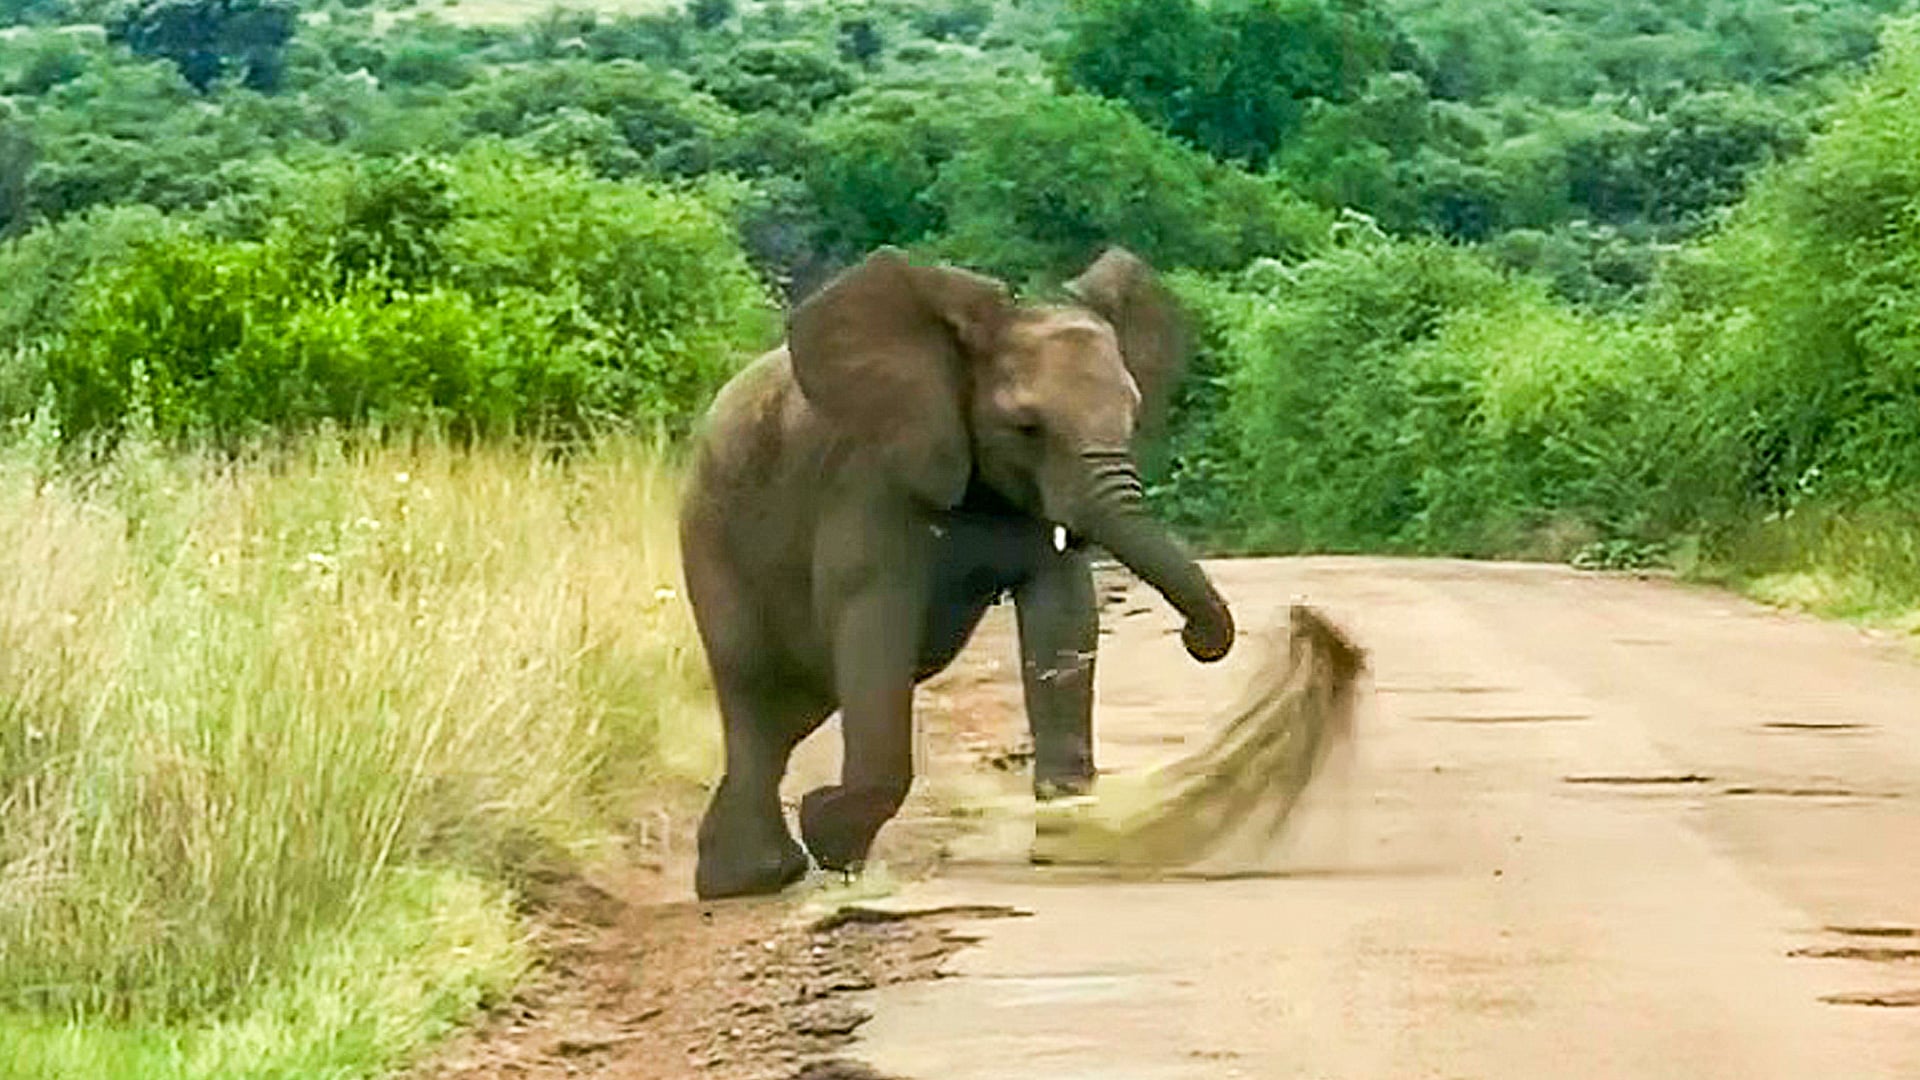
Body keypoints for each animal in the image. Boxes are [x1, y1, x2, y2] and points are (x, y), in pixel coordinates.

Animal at [679, 245, 1237, 900]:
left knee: (792, 708)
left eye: (1133, 415)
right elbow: (874, 619)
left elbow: (1064, 614)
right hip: (712, 536)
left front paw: (1070, 847)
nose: (1195, 638)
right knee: (753, 689)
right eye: (1027, 428)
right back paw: (752, 879)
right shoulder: (869, 479)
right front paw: (831, 833)